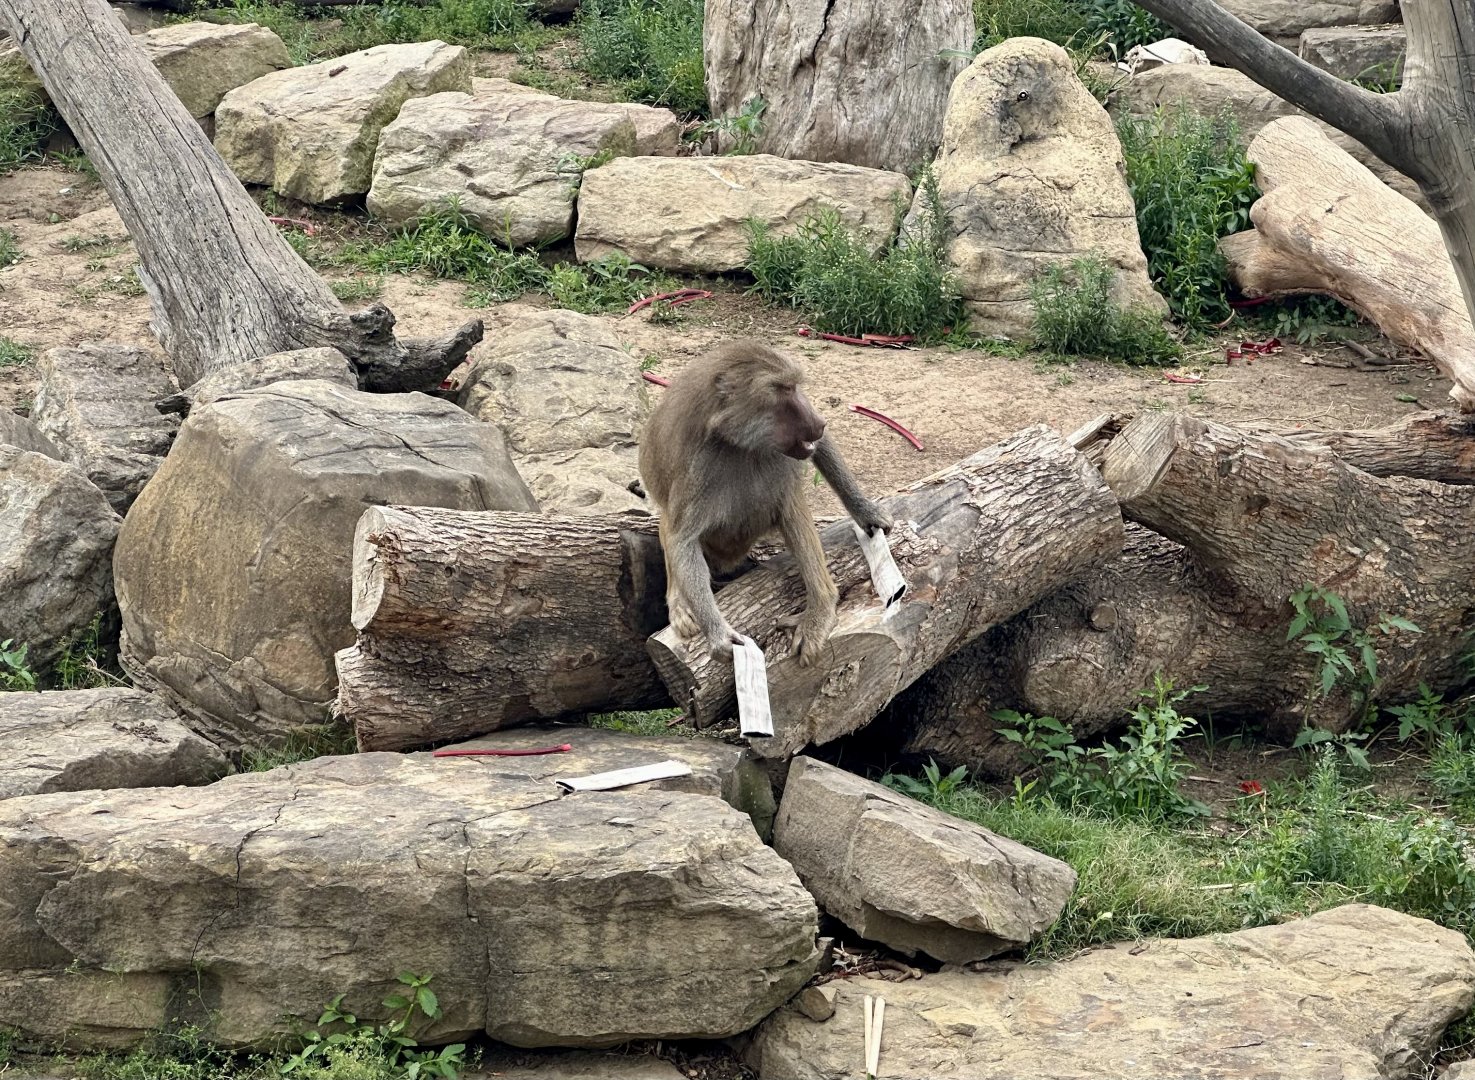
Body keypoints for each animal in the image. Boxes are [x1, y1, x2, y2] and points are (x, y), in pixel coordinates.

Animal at [638, 342, 893, 667]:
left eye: (794, 387)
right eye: (784, 390)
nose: (819, 422)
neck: (739, 444)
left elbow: (818, 448)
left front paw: (866, 511)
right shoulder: (699, 468)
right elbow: (681, 538)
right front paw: (718, 634)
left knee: (787, 498)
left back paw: (821, 606)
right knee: (669, 528)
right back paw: (681, 601)